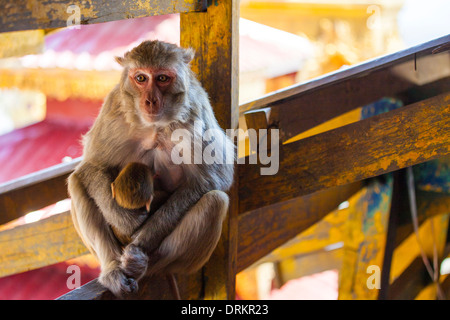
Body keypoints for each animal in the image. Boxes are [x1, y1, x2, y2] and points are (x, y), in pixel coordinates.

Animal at [69, 40, 236, 298]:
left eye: (162, 78)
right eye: (141, 78)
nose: (150, 100)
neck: (155, 126)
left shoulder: (196, 113)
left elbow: (212, 179)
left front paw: (139, 241)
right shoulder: (113, 108)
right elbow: (93, 165)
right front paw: (124, 221)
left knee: (215, 201)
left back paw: (144, 263)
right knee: (78, 181)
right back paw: (113, 269)